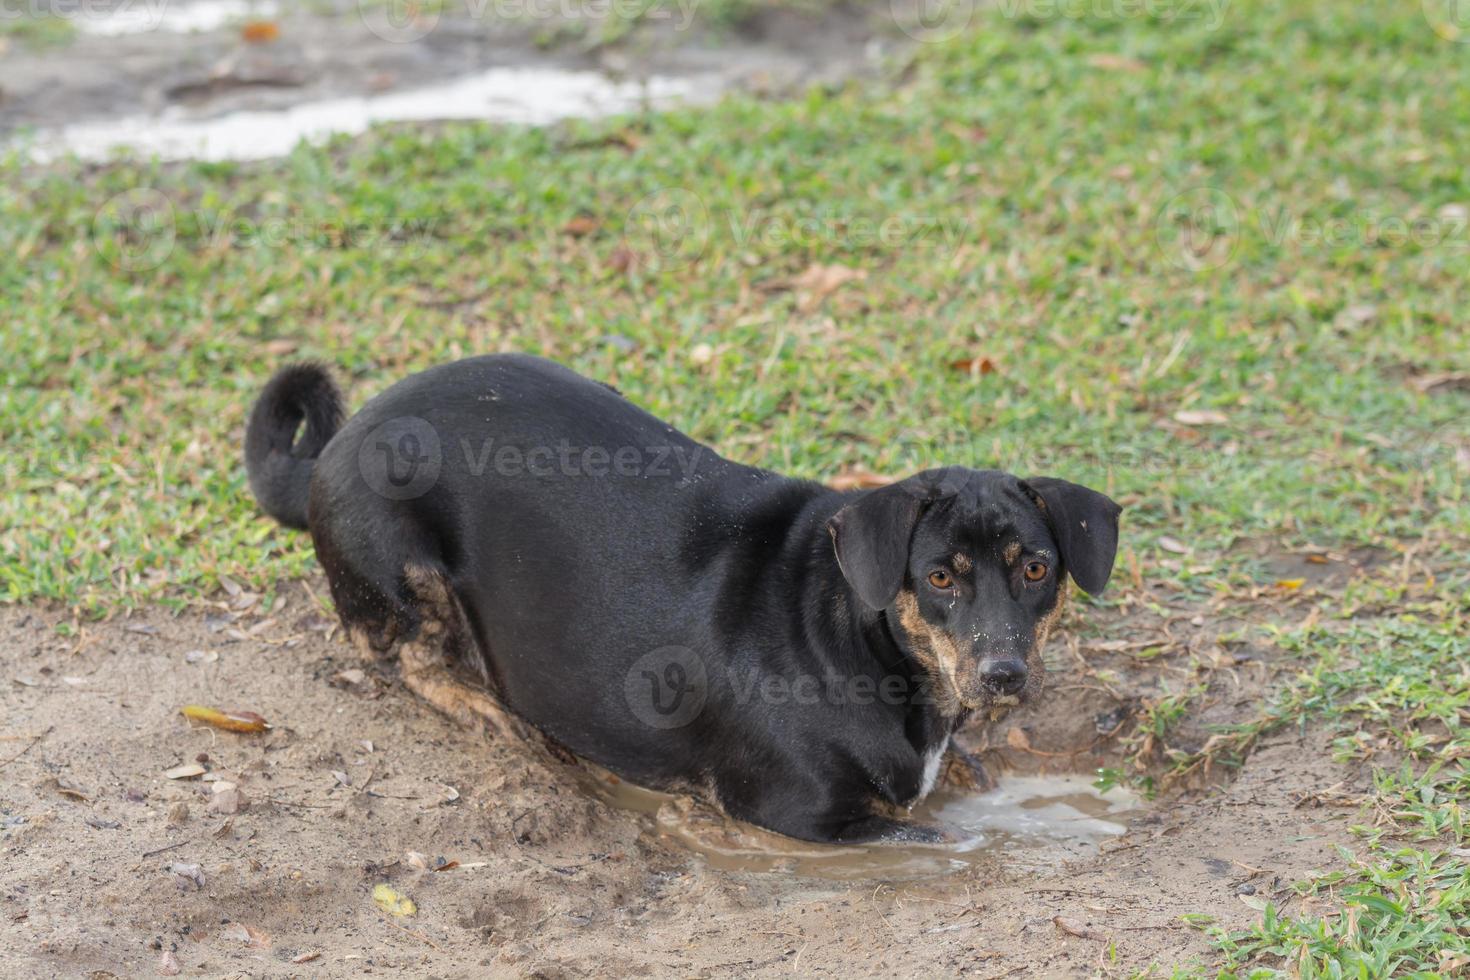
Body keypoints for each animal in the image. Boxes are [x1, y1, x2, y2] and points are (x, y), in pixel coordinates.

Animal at [241, 357, 1117, 846]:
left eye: (1037, 568)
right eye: (939, 578)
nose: (1004, 675)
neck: (856, 638)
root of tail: (339, 440)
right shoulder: (801, 815)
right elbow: (938, 840)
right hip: (402, 561)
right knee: (407, 661)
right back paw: (504, 720)